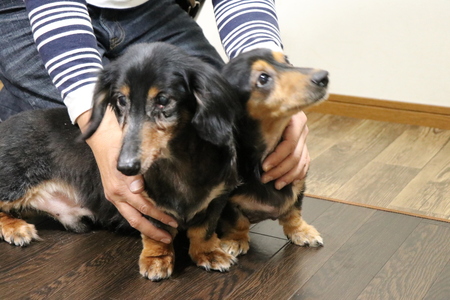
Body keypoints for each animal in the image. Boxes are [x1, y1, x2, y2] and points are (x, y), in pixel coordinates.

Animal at [0, 42, 239, 282]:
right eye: (121, 100)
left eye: (163, 100)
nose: (125, 167)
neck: (176, 162)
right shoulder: (145, 205)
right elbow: (159, 234)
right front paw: (157, 259)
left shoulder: (218, 196)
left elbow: (204, 229)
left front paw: (209, 253)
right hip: (15, 184)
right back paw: (16, 229)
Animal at [217, 48, 326, 255]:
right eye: (263, 78)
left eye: (287, 61)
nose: (324, 77)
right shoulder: (226, 201)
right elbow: (237, 221)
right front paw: (235, 241)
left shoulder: (297, 180)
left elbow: (293, 211)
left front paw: (301, 231)